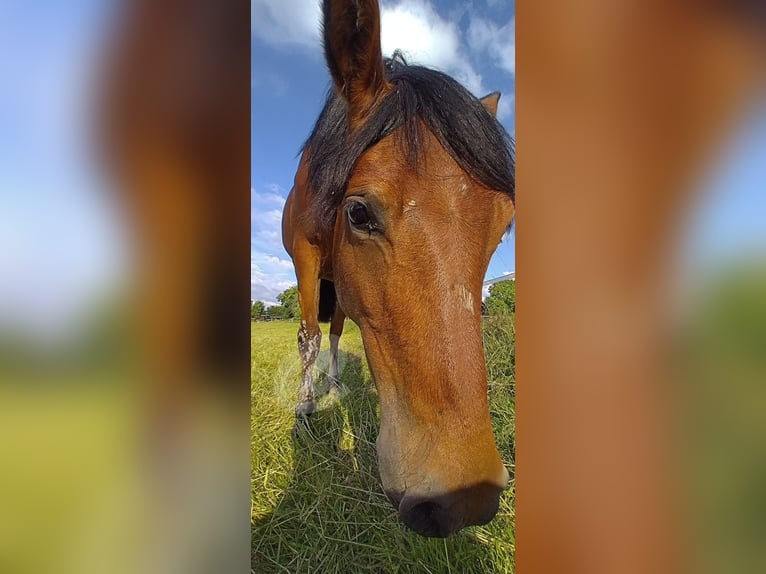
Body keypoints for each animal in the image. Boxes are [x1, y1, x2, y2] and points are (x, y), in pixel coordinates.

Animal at [282, 0, 516, 540]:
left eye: (502, 229)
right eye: (358, 213)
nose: (465, 497)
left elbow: (327, 334)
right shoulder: (305, 257)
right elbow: (306, 335)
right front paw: (303, 409)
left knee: (337, 331)